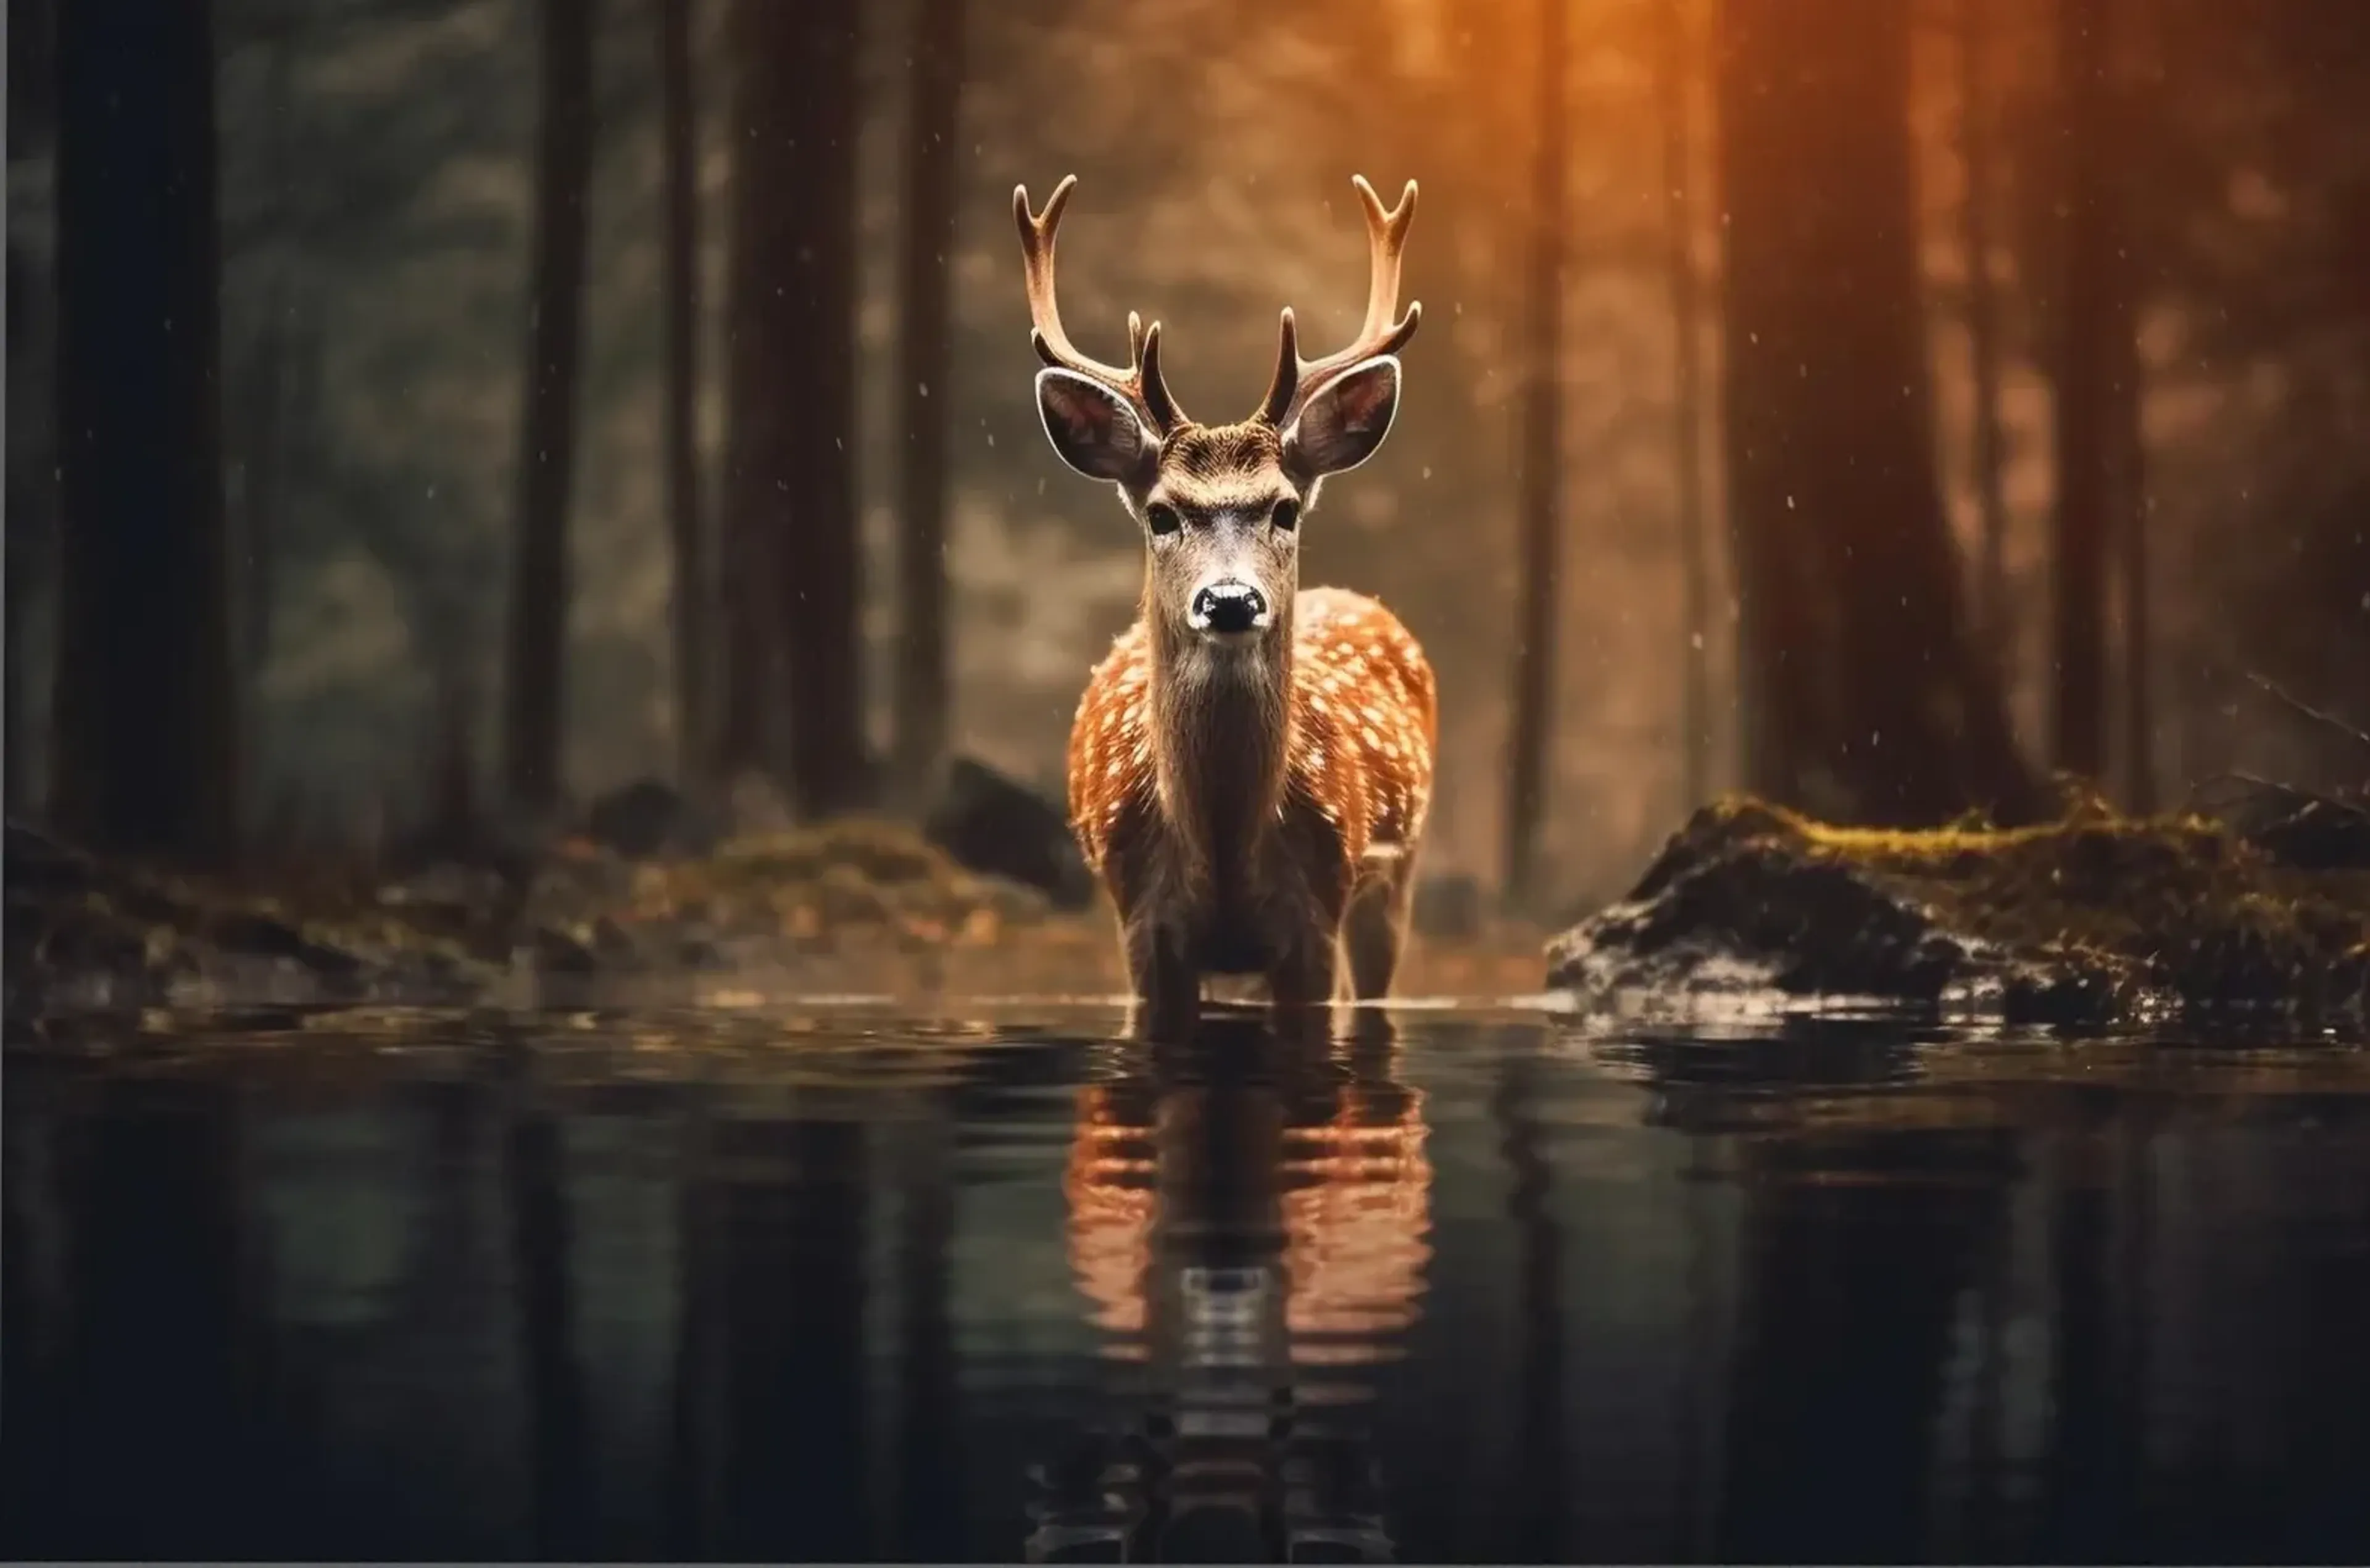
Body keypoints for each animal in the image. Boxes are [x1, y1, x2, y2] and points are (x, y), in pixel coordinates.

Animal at [1014, 172, 1439, 1039]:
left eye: (1286, 508)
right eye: (1161, 513)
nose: (1232, 601)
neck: (1223, 846)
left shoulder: (1317, 913)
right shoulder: (1139, 921)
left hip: (1397, 876)